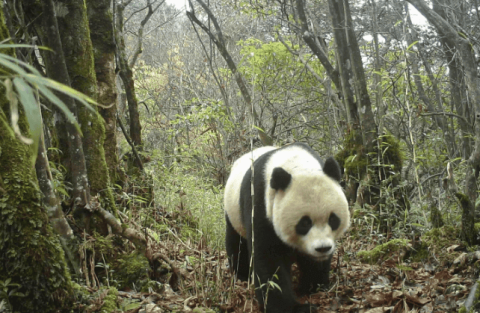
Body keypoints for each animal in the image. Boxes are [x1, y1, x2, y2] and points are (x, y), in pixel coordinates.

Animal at [223, 143, 350, 310]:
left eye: (333, 219)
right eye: (305, 223)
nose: (322, 248)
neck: (297, 165)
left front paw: (313, 286)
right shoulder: (260, 205)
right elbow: (268, 258)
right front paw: (295, 307)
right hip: (233, 210)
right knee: (236, 242)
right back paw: (242, 274)